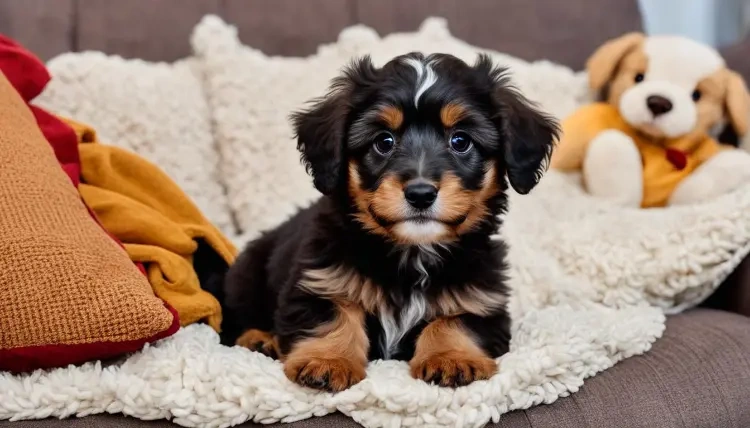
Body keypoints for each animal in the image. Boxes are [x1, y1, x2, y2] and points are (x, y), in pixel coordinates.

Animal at [217, 52, 560, 392]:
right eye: (384, 141)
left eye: (460, 141)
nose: (420, 194)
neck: (413, 253)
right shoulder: (318, 280)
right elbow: (332, 315)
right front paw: (328, 361)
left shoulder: (484, 300)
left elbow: (456, 320)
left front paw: (451, 357)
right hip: (246, 277)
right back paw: (259, 339)